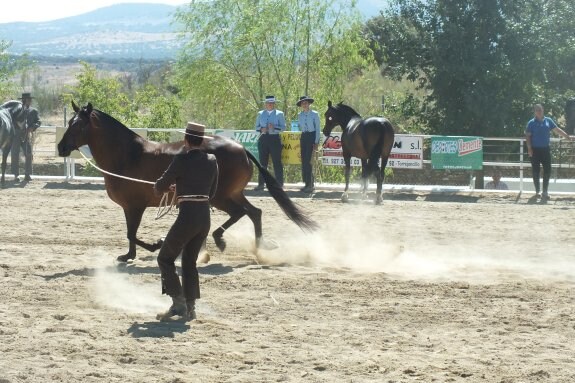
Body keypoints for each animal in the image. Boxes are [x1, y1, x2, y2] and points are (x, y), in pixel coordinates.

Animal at [57, 102, 320, 262]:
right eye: (69, 122)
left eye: (78, 125)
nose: (60, 148)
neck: (128, 155)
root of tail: (242, 148)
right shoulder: (130, 208)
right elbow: (130, 234)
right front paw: (129, 255)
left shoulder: (135, 206)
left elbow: (132, 233)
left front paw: (154, 245)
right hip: (232, 193)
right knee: (255, 212)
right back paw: (260, 246)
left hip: (220, 196)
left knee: (241, 213)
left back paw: (220, 240)